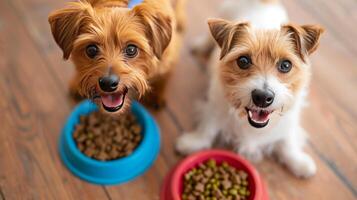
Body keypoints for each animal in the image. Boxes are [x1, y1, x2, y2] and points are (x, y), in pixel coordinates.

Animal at [48, 0, 185, 113]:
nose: (108, 84)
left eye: (131, 49)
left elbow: (164, 76)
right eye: (91, 50)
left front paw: (157, 93)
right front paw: (77, 81)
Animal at [175, 0, 322, 177]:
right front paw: (194, 142)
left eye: (286, 65)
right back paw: (201, 45)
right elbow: (207, 127)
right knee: (209, 38)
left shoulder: (289, 120)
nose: (262, 97)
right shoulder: (214, 108)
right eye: (243, 61)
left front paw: (299, 163)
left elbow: (288, 142)